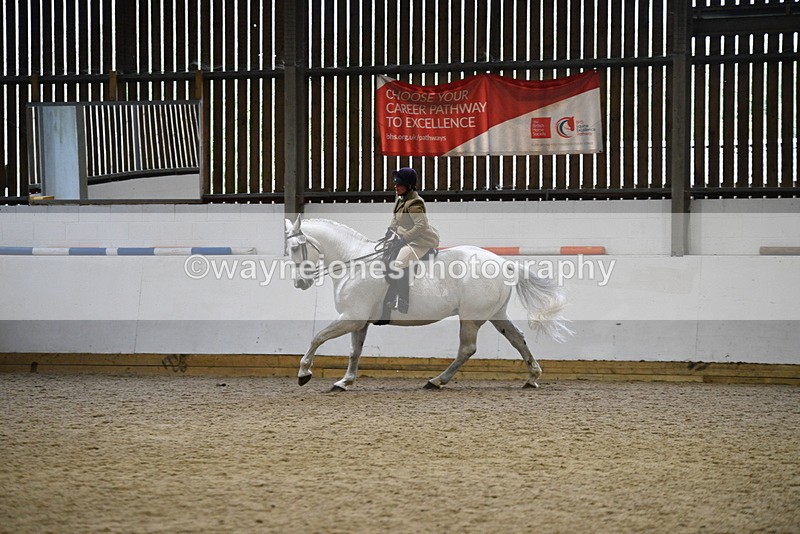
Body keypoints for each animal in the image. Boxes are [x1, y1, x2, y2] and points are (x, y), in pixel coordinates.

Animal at [284, 215, 573, 391]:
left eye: (296, 248)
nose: (300, 283)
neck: (353, 263)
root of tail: (503, 262)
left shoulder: (351, 318)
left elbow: (318, 338)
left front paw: (304, 374)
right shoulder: (359, 321)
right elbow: (355, 351)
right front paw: (345, 381)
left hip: (471, 317)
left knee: (467, 349)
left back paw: (436, 380)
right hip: (496, 314)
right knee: (517, 338)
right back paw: (532, 377)